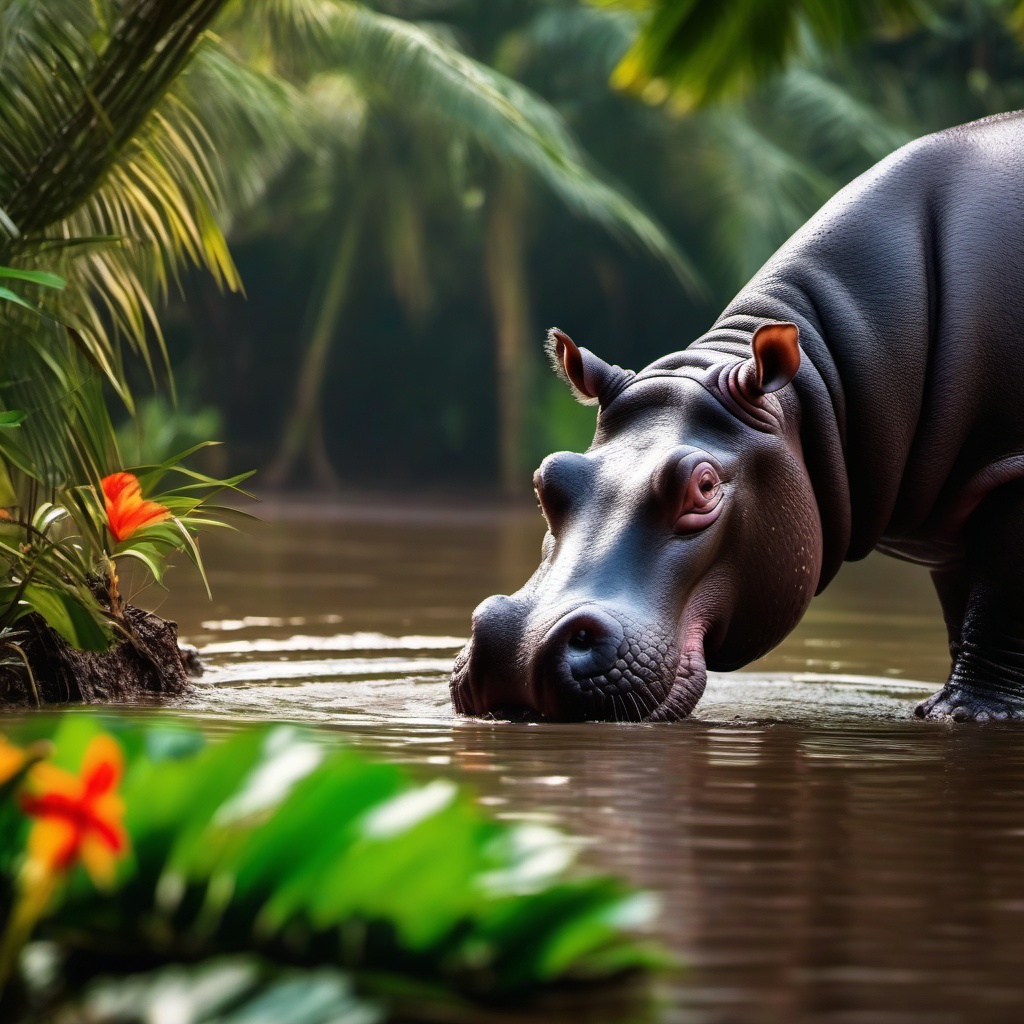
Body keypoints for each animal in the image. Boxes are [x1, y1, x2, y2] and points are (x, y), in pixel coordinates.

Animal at [454, 110, 1024, 720]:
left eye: (703, 486)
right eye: (548, 478)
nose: (518, 650)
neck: (820, 389)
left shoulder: (1008, 473)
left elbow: (999, 609)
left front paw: (964, 713)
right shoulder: (954, 528)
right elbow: (966, 618)